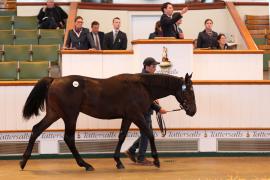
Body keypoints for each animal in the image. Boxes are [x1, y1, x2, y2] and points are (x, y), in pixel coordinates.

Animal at [19, 73, 196, 170]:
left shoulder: (127, 117)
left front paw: (118, 161)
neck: (142, 86)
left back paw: (23, 161)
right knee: (68, 138)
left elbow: (122, 136)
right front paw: (156, 160)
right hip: (70, 115)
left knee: (36, 129)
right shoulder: (136, 115)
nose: (193, 111)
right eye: (189, 91)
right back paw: (85, 165)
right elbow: (149, 133)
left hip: (54, 114)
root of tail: (54, 80)